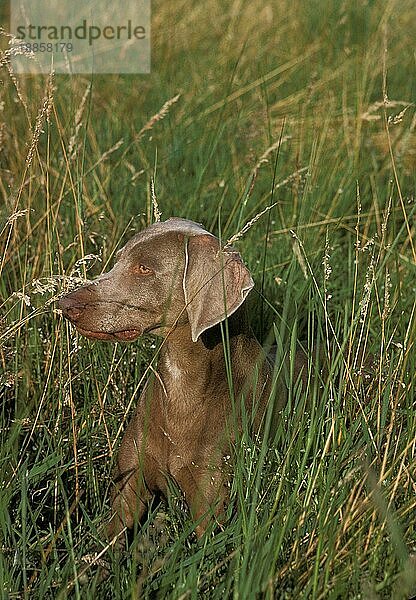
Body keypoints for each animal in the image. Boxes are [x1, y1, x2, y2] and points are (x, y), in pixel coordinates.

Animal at [58, 218, 300, 548]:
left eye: (144, 269)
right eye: (118, 259)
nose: (64, 304)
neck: (181, 383)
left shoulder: (211, 508)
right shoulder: (128, 488)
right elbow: (110, 544)